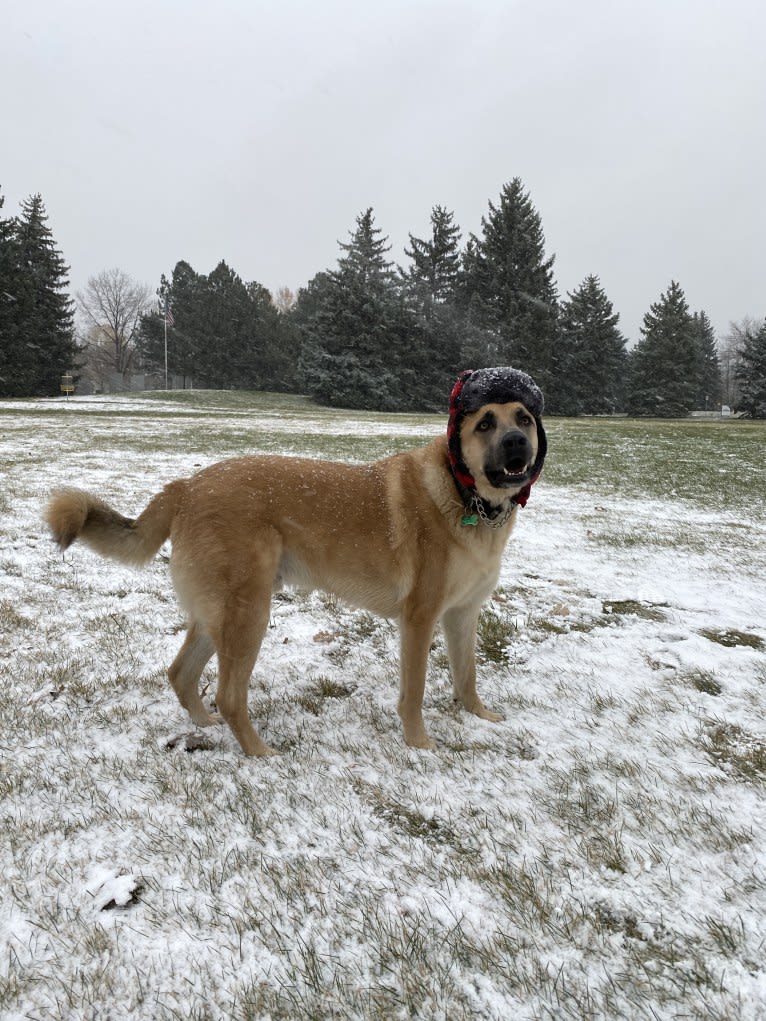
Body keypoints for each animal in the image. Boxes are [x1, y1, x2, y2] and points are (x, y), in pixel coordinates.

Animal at [44, 371, 547, 755]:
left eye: (523, 418)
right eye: (484, 423)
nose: (517, 443)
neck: (467, 496)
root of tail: (186, 487)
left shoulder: (463, 614)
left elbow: (467, 676)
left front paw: (479, 715)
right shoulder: (419, 620)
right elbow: (415, 690)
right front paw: (419, 743)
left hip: (219, 615)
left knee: (181, 674)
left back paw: (205, 726)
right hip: (249, 613)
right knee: (229, 695)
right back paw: (259, 753)